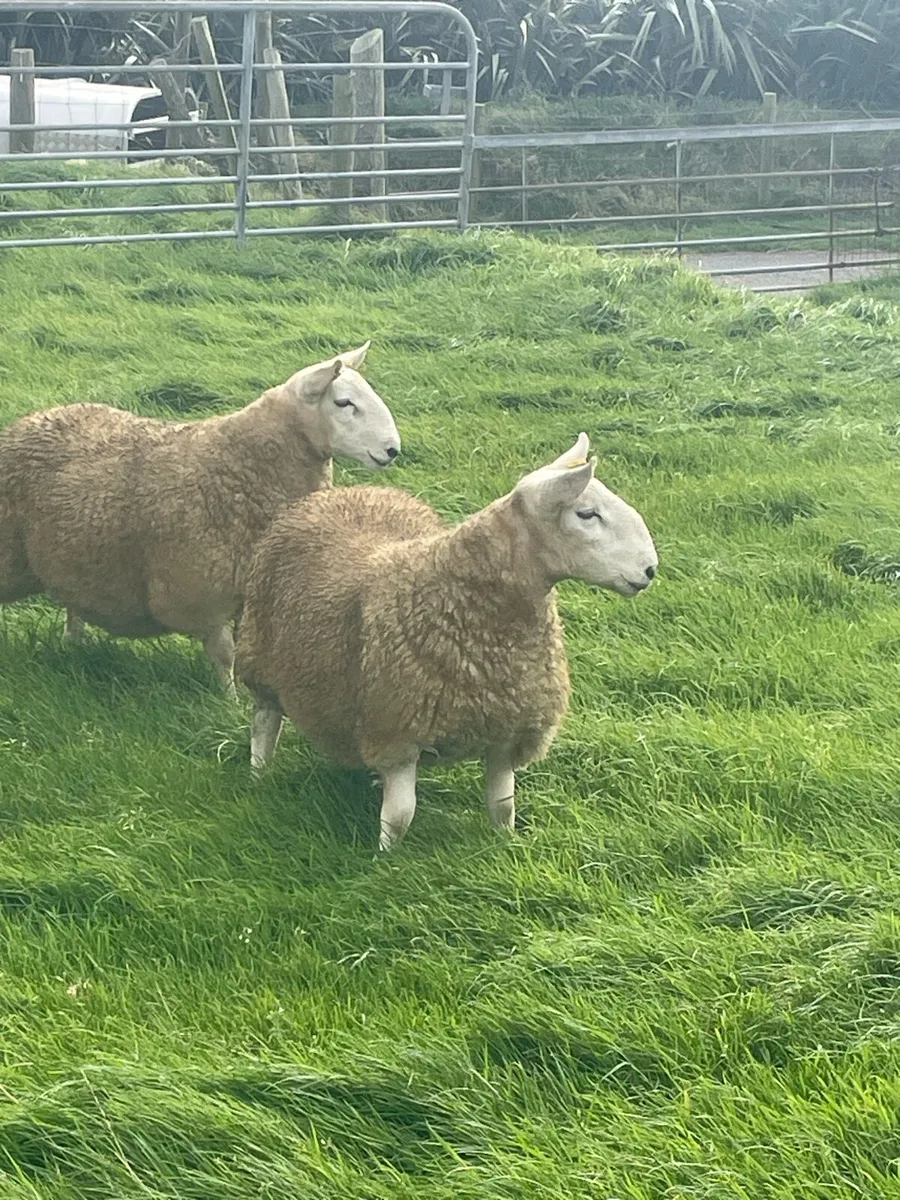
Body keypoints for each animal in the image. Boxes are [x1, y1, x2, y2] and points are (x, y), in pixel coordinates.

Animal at [0, 343, 400, 697]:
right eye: (343, 403)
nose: (393, 450)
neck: (243, 466)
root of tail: (32, 419)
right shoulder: (200, 593)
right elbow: (225, 655)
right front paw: (229, 704)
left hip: (73, 556)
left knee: (74, 604)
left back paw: (73, 643)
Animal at [235, 433, 658, 850]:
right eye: (586, 514)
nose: (650, 569)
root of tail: (348, 492)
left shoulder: (507, 729)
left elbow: (503, 805)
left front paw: (504, 845)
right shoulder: (398, 731)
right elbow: (399, 816)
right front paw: (385, 860)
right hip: (260, 660)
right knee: (264, 724)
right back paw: (258, 776)